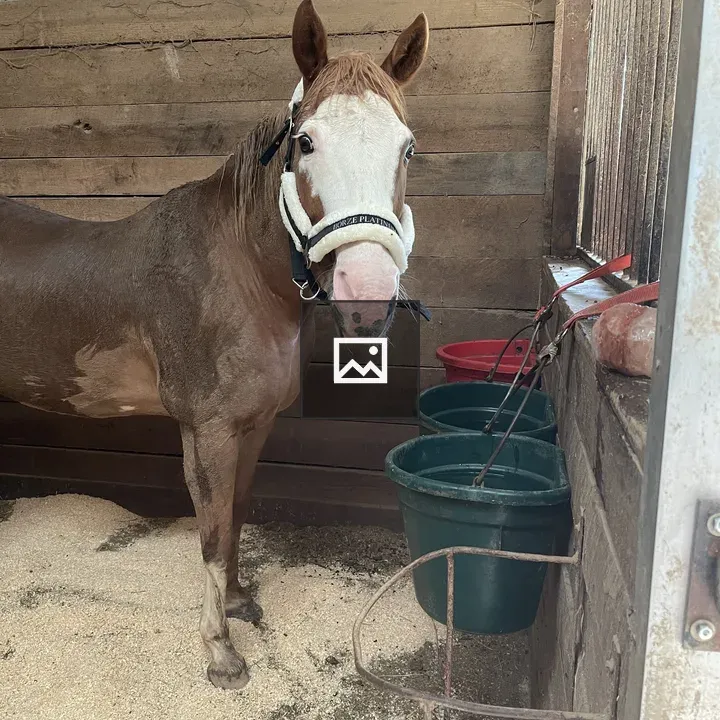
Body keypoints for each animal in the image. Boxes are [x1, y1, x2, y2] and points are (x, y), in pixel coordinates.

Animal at [0, 0, 429, 689]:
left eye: (406, 147)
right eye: (306, 142)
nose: (366, 290)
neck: (241, 273)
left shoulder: (252, 427)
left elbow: (235, 518)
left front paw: (236, 604)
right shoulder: (207, 431)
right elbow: (210, 531)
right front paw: (220, 652)